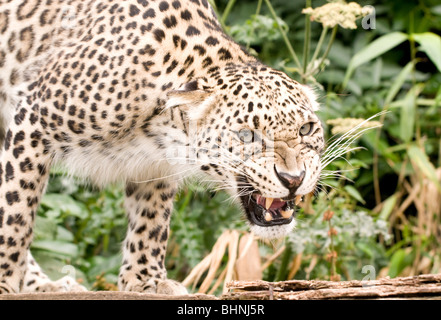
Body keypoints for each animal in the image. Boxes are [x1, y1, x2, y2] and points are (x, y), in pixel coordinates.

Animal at [0, 0, 324, 296]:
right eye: (247, 135)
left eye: (306, 129)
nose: (293, 179)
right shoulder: (32, 122)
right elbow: (16, 212)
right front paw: (5, 282)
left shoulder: (154, 165)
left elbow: (151, 222)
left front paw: (146, 280)